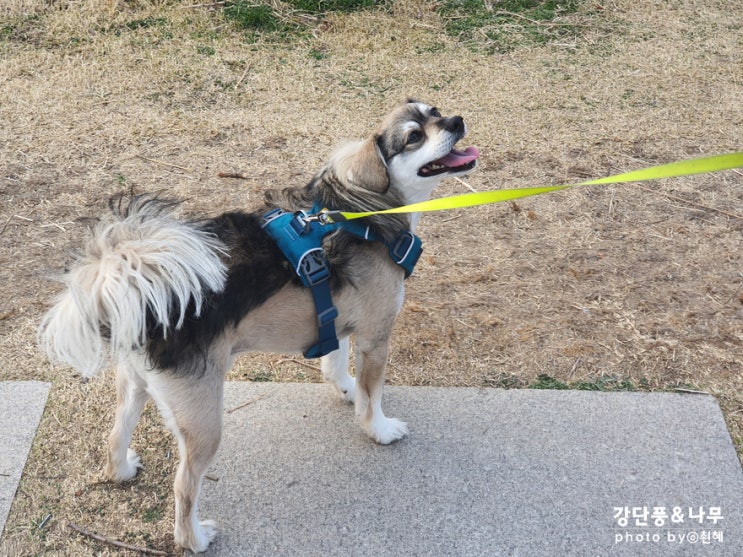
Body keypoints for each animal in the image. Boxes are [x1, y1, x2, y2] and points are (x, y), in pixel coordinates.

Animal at [40, 101, 480, 552]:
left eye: (435, 111)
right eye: (414, 136)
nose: (457, 121)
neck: (363, 210)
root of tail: (135, 278)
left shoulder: (335, 319)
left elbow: (335, 364)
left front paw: (346, 390)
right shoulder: (376, 338)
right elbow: (372, 397)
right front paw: (379, 428)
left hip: (136, 386)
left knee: (115, 437)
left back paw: (123, 469)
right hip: (203, 421)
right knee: (184, 487)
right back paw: (195, 539)